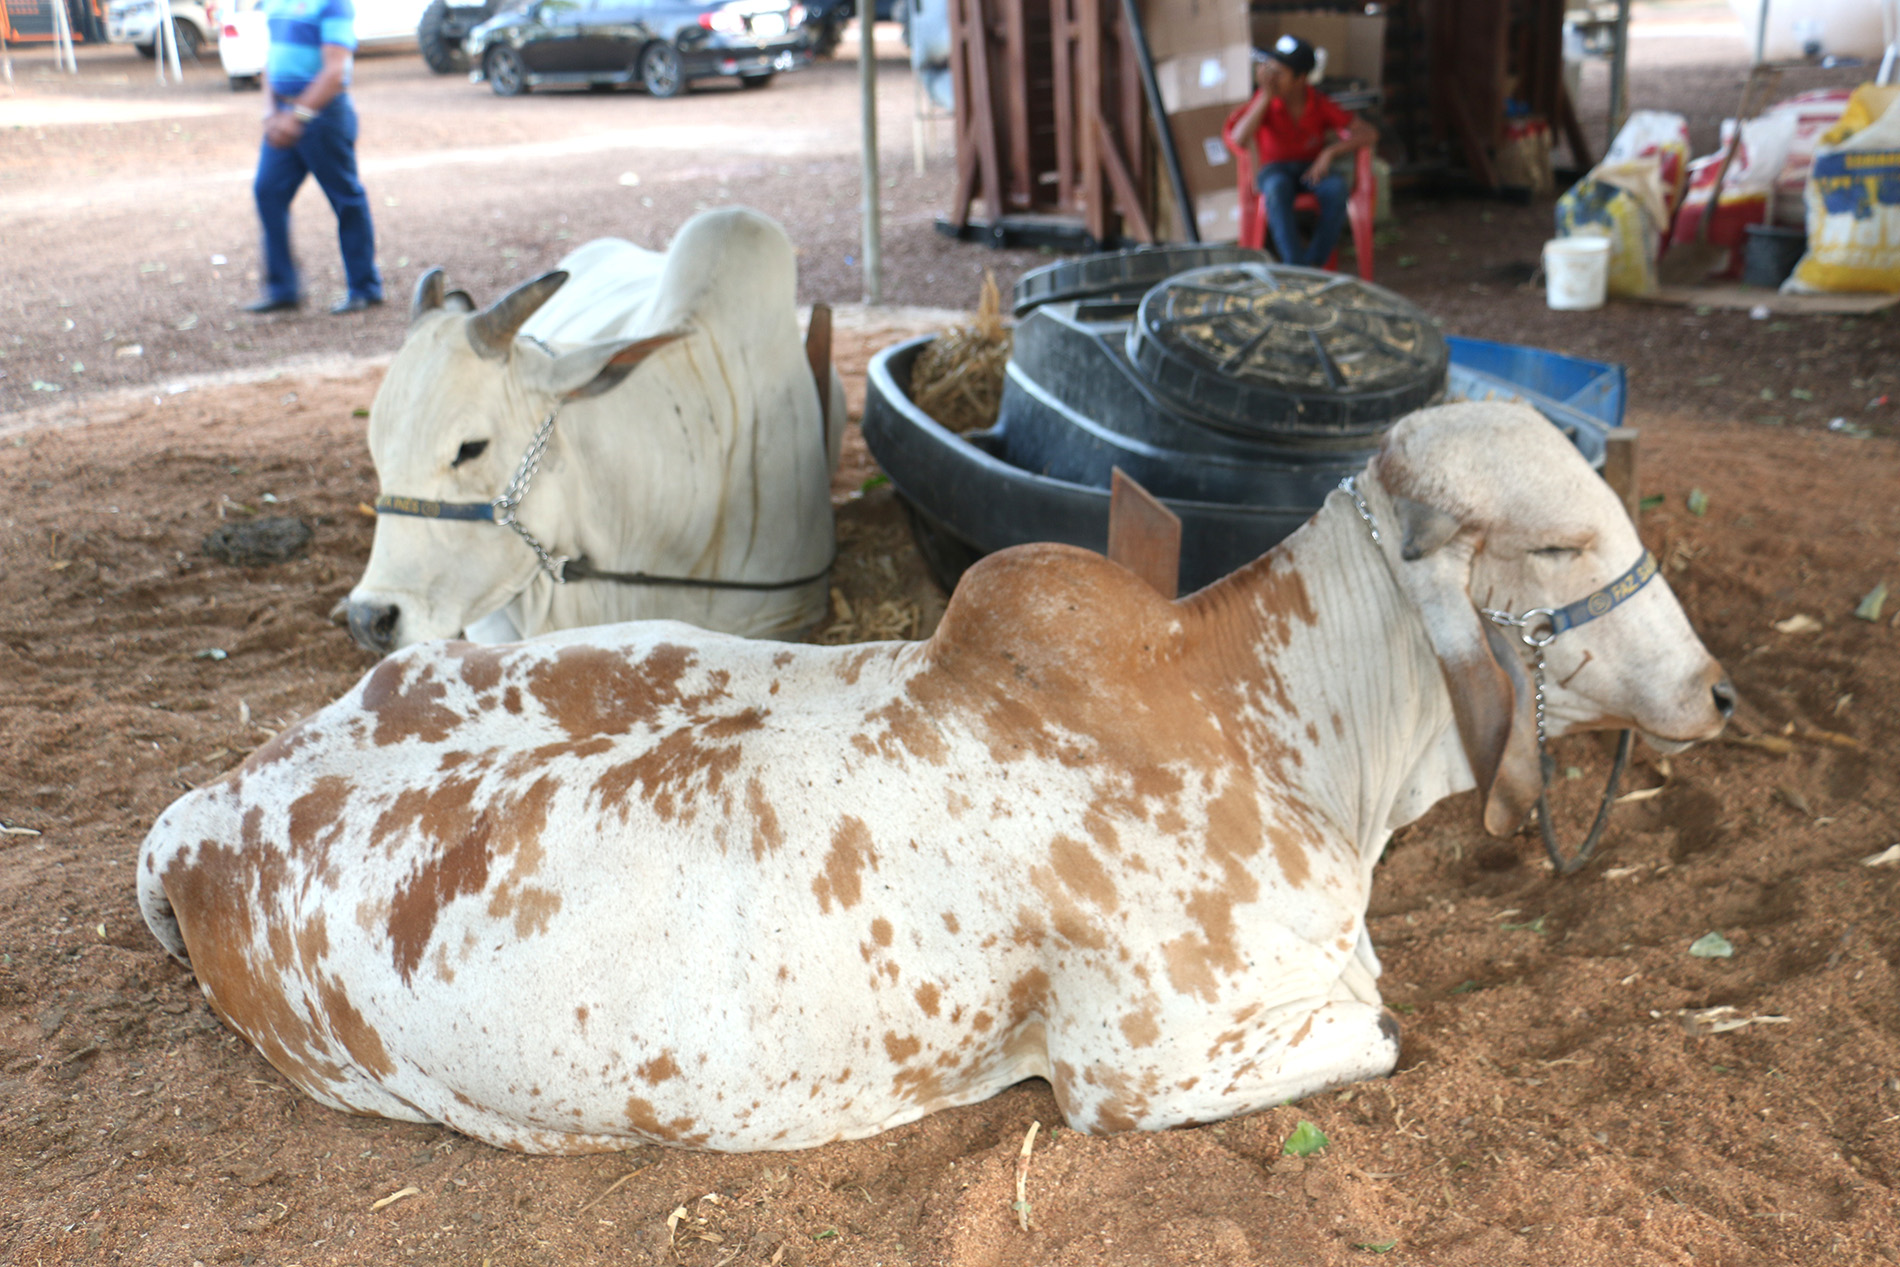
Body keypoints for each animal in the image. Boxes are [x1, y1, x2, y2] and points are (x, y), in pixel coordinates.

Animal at [140, 400, 1732, 1154]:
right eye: (1560, 542)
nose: (1716, 689)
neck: (1270, 727)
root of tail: (210, 811)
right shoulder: (1136, 1070)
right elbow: (1388, 1029)